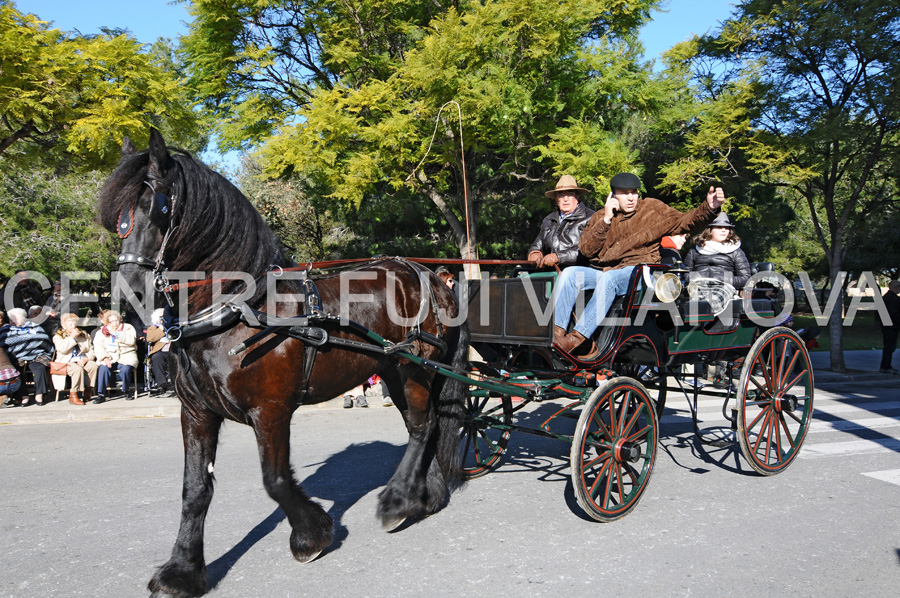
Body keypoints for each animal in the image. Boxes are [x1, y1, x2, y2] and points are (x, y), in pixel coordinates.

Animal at [98, 129, 468, 596]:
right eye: (118, 218)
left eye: (158, 206)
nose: (127, 294)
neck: (239, 310)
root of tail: (430, 275)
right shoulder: (196, 412)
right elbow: (194, 489)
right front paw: (182, 569)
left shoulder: (270, 410)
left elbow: (274, 480)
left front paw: (312, 535)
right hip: (392, 370)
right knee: (428, 425)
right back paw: (426, 496)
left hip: (414, 369)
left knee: (422, 427)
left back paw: (398, 500)